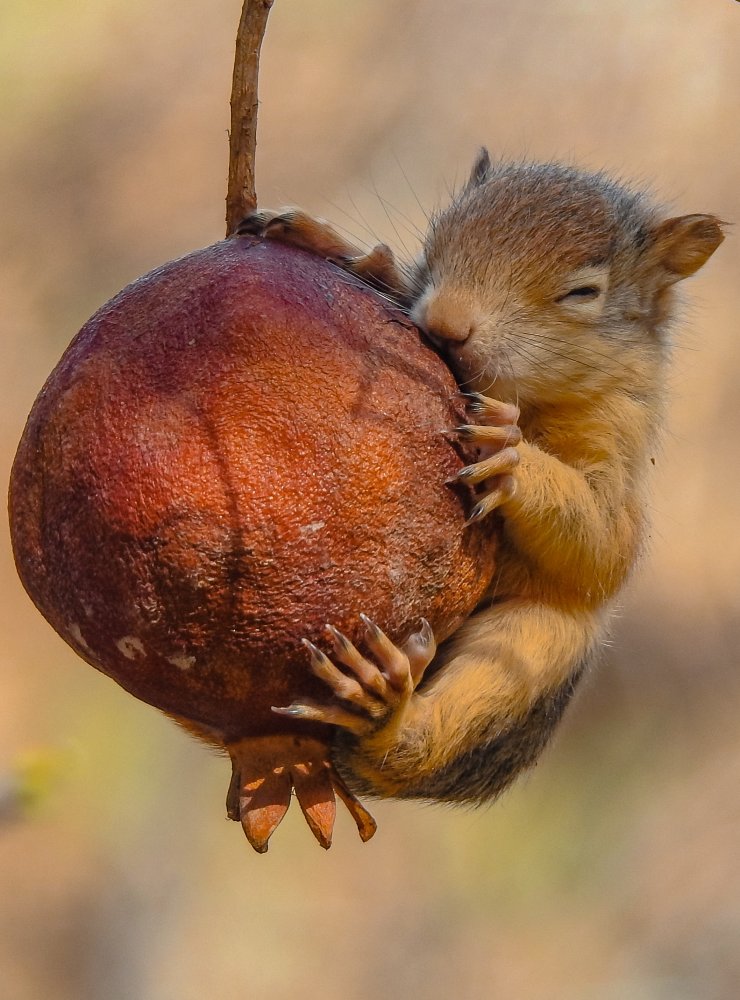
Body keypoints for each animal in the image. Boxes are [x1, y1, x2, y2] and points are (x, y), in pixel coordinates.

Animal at [238, 150, 724, 804]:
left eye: (583, 292)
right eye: (440, 234)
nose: (446, 324)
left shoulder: (621, 446)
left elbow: (605, 546)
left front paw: (513, 458)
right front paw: (337, 245)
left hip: (529, 645)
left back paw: (383, 714)